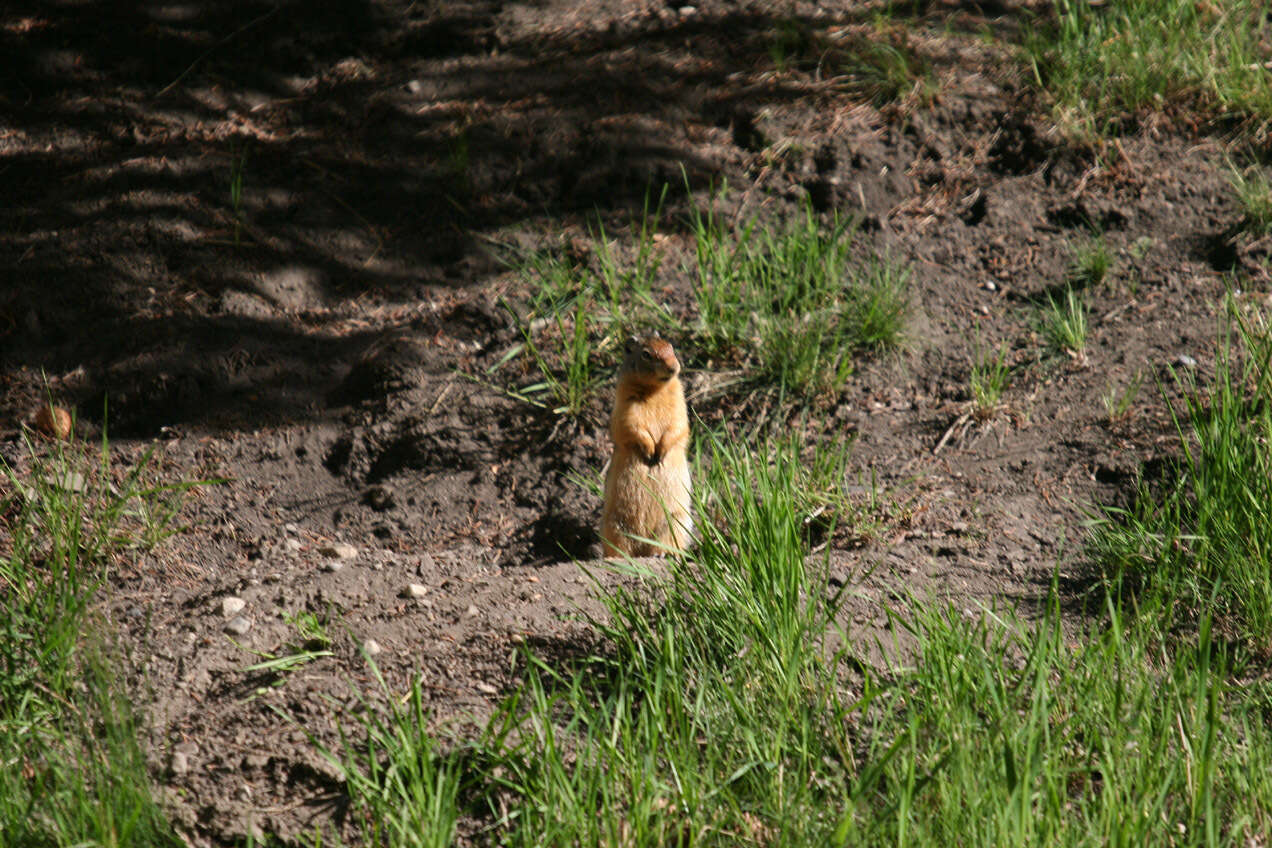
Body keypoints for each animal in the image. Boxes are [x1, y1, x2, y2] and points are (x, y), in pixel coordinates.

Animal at [597, 335, 691, 559]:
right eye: (646, 354)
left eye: (671, 347)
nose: (673, 367)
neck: (655, 390)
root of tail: (643, 548)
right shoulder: (625, 407)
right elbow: (632, 427)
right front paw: (650, 452)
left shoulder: (680, 404)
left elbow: (678, 426)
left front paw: (660, 453)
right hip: (613, 525)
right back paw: (619, 557)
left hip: (676, 521)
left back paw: (664, 554)